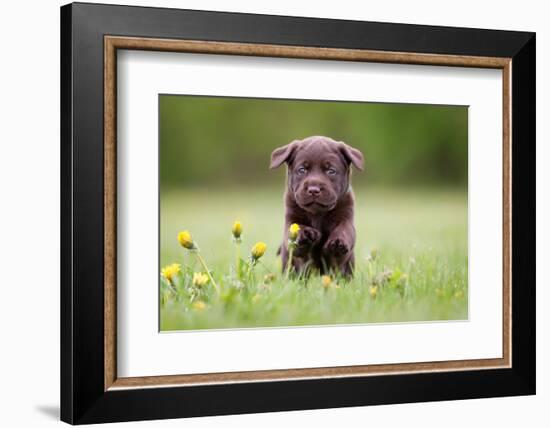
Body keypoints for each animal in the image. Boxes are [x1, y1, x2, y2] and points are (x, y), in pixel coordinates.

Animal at [270, 135, 364, 278]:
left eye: (331, 171)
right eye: (302, 170)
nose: (314, 189)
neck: (317, 214)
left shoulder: (346, 216)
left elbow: (345, 229)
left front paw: (338, 242)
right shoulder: (291, 218)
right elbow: (294, 229)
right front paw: (305, 234)